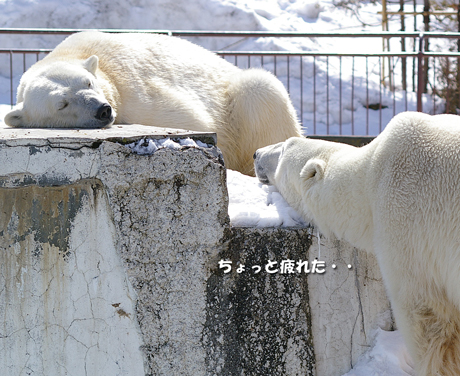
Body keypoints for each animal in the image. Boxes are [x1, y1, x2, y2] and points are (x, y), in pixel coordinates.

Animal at [6, 30, 306, 175]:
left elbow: (192, 119)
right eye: (62, 104)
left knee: (262, 89)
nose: (103, 110)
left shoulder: (134, 90)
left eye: (87, 83)